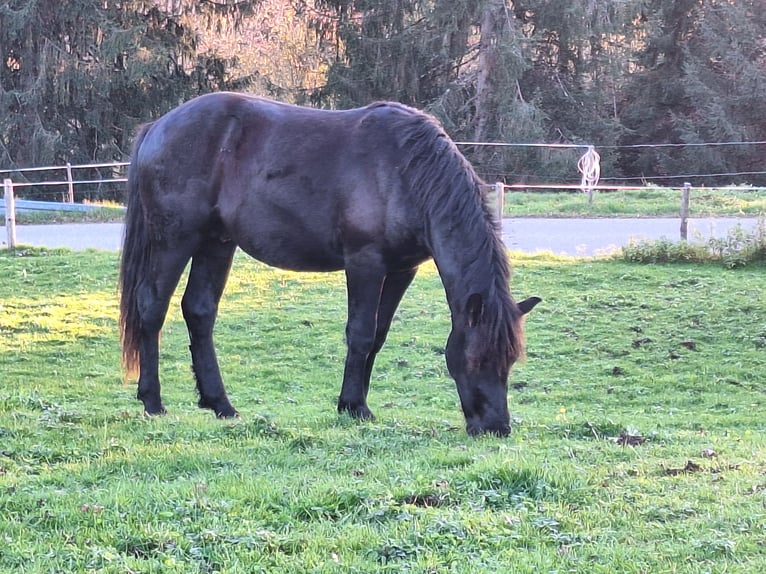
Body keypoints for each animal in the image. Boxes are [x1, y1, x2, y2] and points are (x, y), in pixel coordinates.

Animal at [120, 93, 540, 436]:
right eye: (476, 357)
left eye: (510, 359)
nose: (497, 427)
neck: (405, 171)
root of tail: (158, 126)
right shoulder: (365, 262)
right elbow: (361, 333)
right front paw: (354, 406)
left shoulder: (401, 269)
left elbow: (379, 334)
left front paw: (356, 403)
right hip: (175, 239)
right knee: (152, 307)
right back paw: (153, 402)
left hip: (216, 243)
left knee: (199, 311)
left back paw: (220, 404)